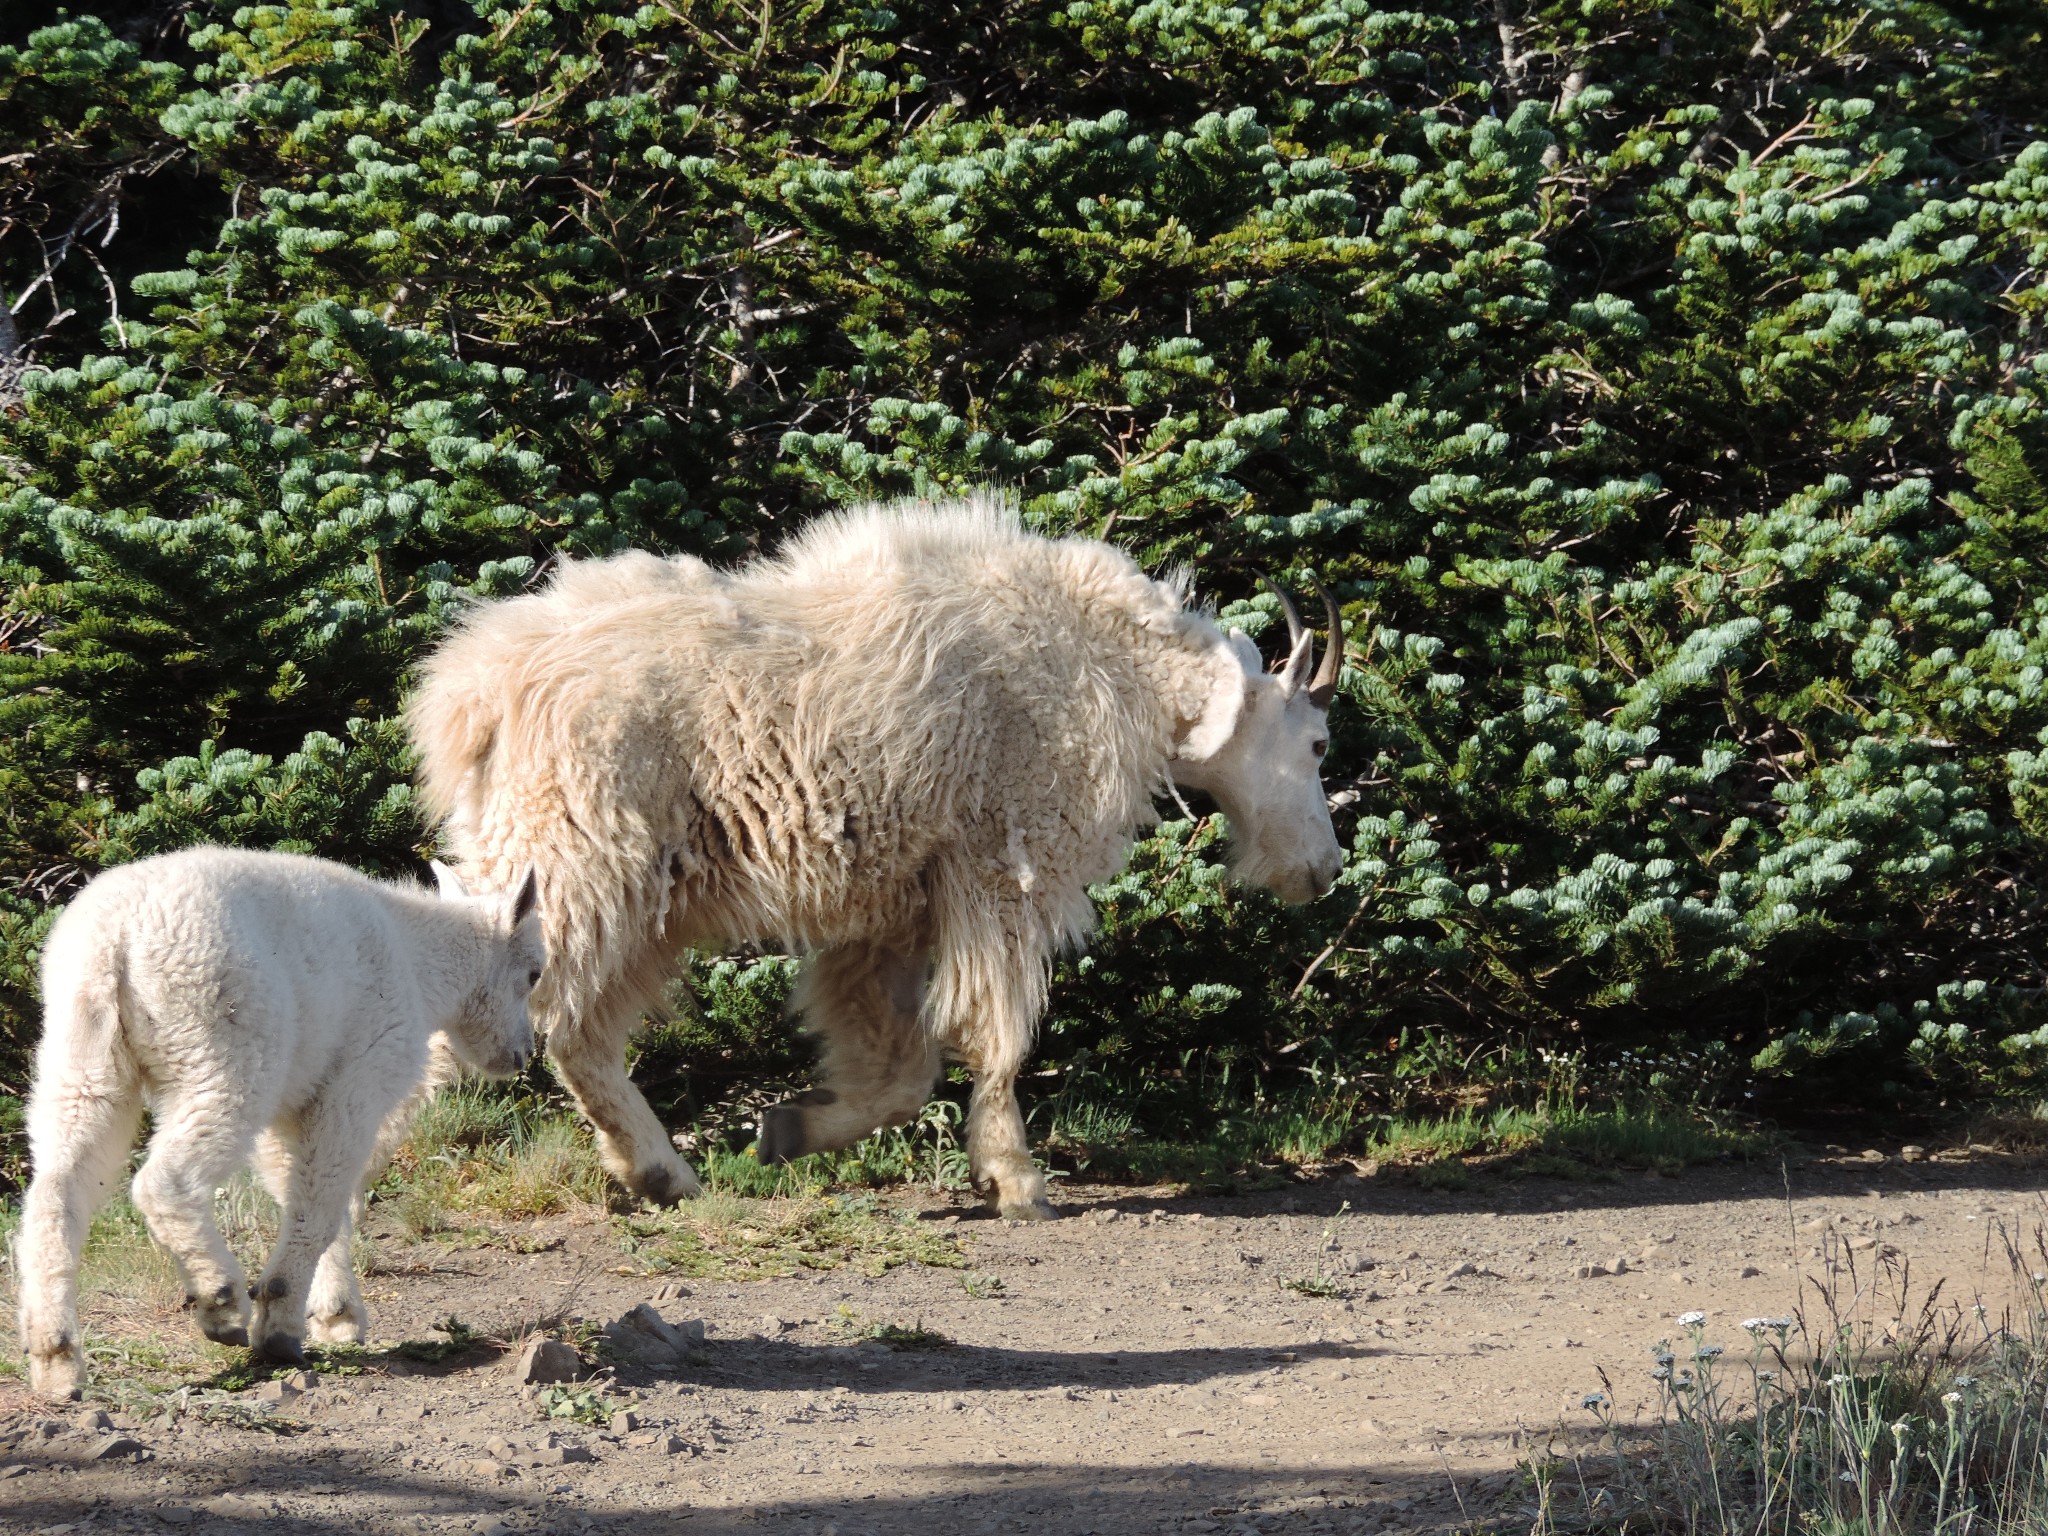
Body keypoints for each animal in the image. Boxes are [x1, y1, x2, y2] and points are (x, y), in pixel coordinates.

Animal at [413, 499, 1343, 1220]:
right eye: (1318, 742)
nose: (1325, 870)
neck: (1118, 665)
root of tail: (476, 690)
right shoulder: (1006, 867)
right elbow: (993, 1032)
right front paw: (1018, 1182)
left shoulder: (896, 905)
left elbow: (900, 1068)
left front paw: (787, 1130)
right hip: (582, 858)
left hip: (619, 882)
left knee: (572, 1020)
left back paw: (660, 1171)